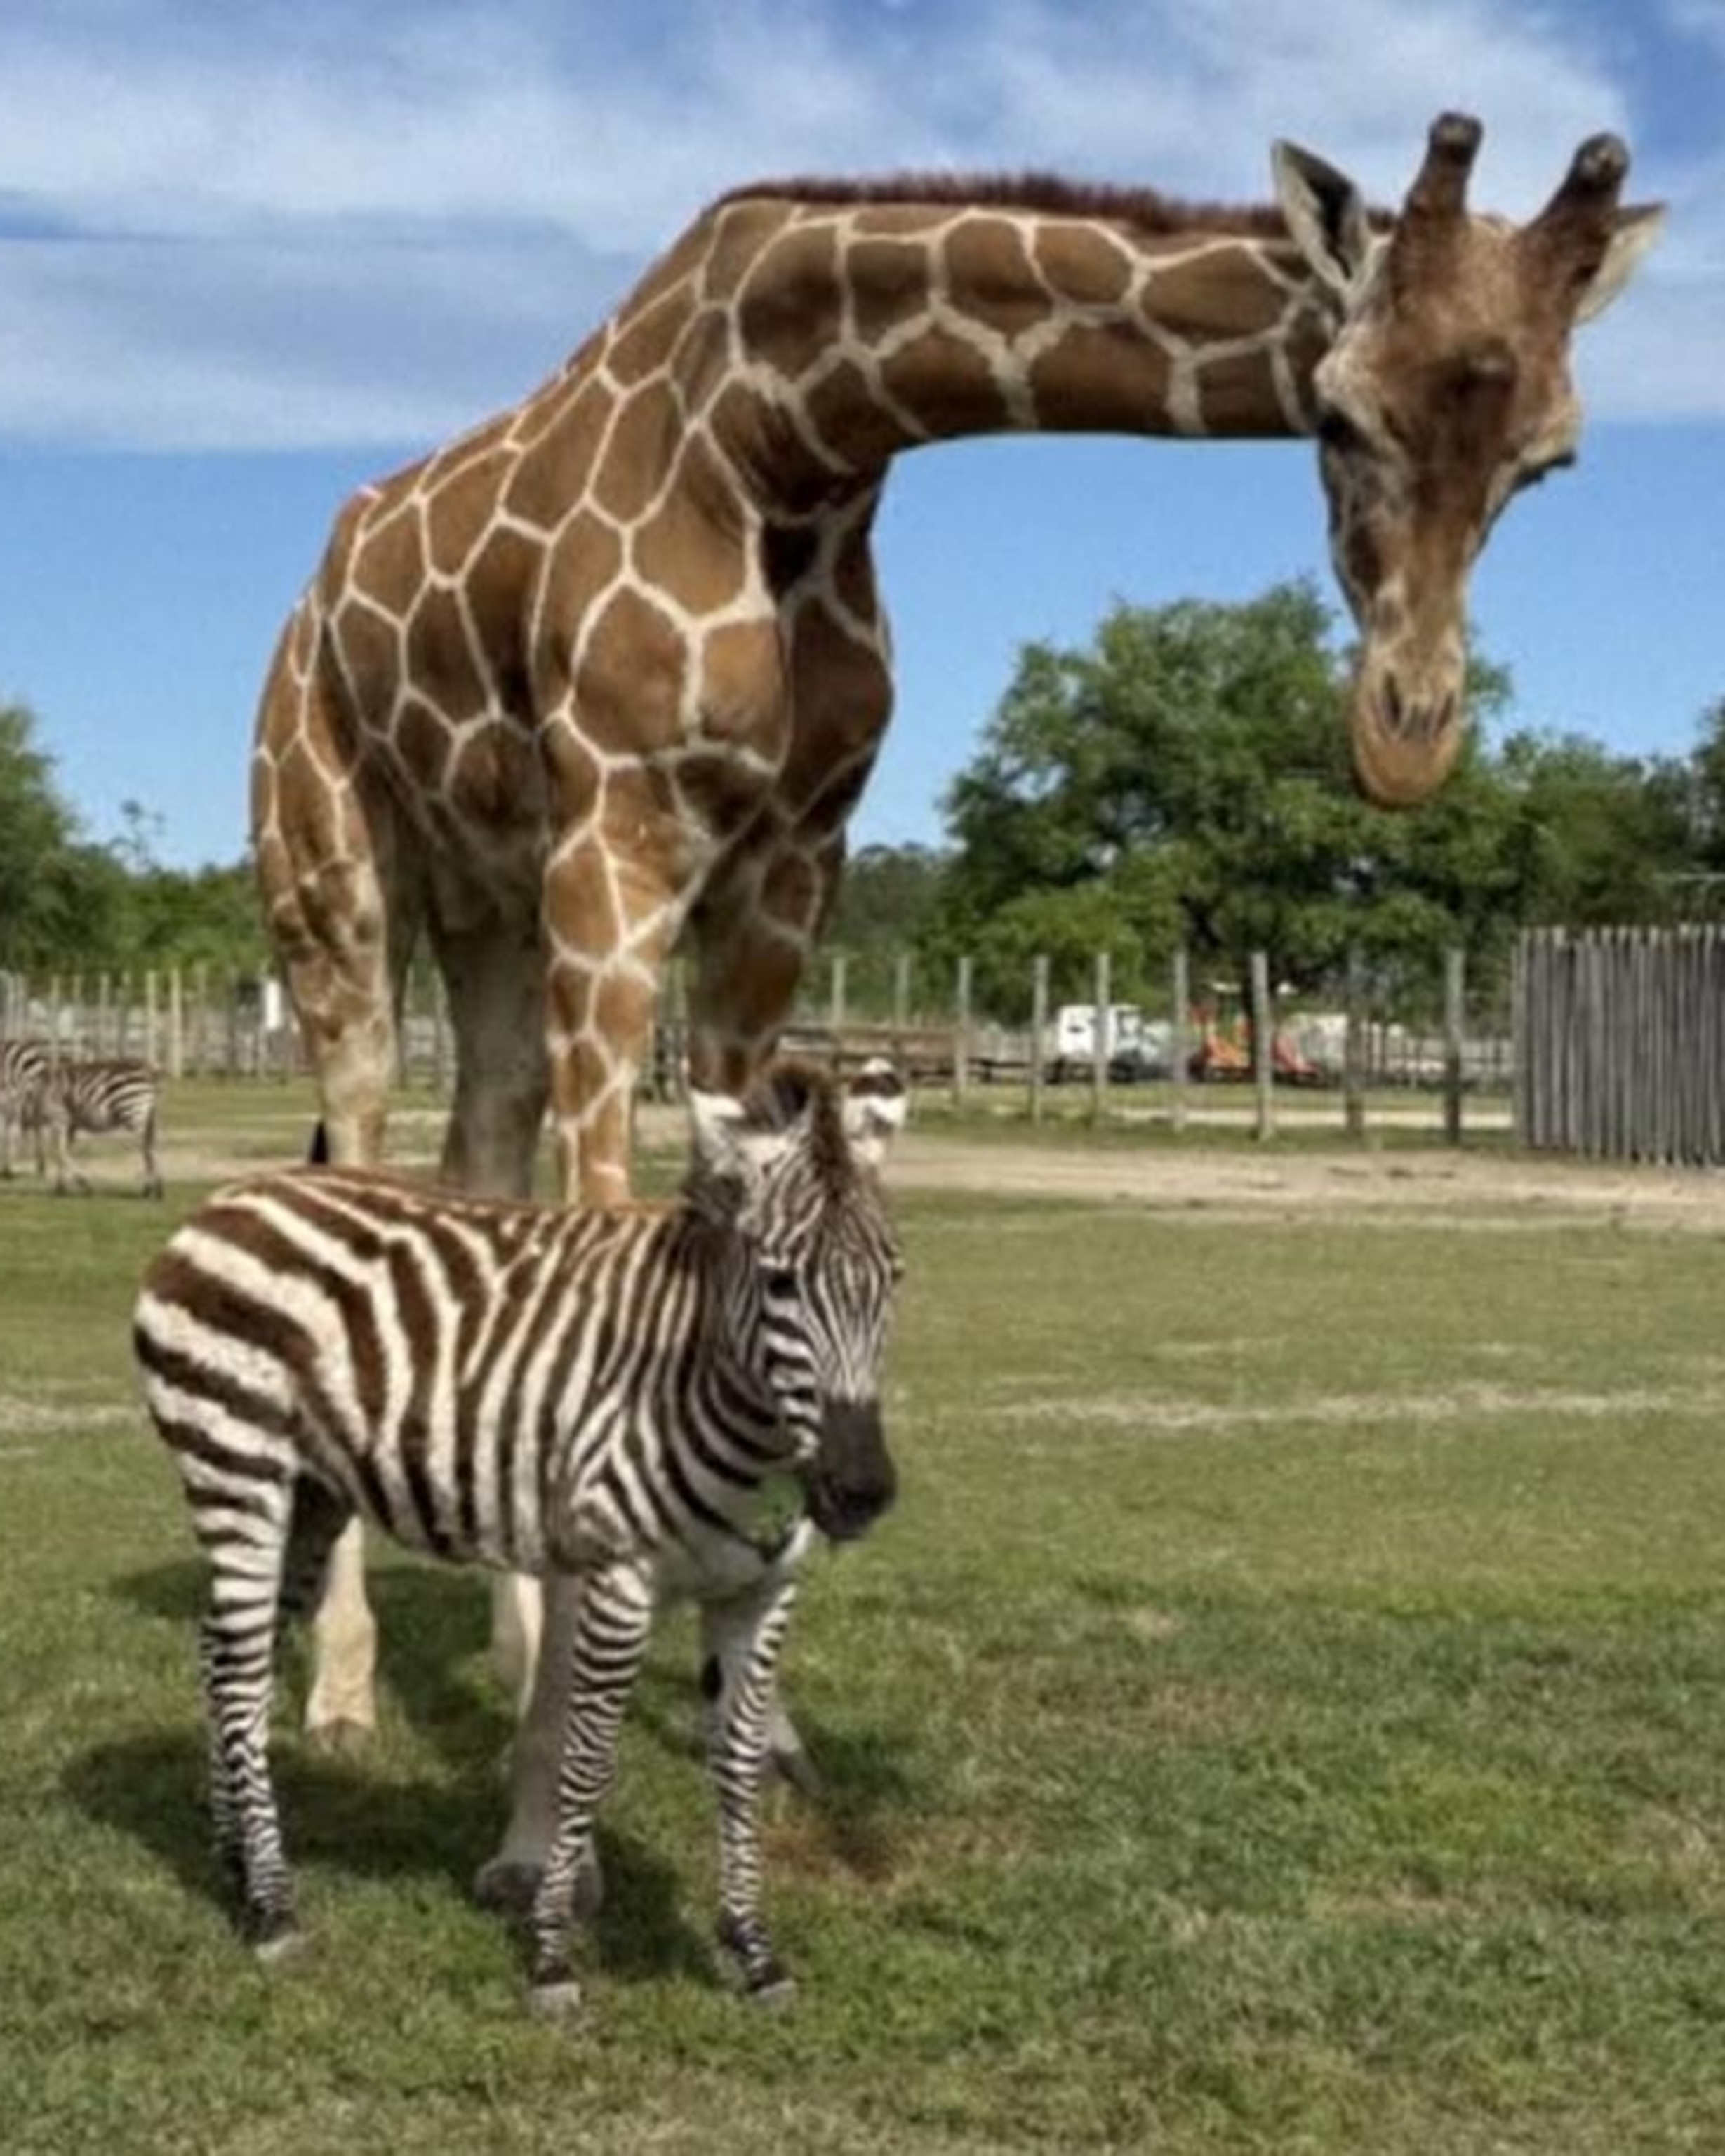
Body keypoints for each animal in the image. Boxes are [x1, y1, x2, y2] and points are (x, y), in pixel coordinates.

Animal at [41, 1055, 164, 1197]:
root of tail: (149, 1071)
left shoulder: (58, 1117)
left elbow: (60, 1152)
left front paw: (78, 1185)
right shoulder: (71, 1123)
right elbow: (65, 1150)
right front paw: (62, 1186)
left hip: (134, 1112)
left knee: (147, 1149)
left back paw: (152, 1188)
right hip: (147, 1116)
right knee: (151, 1147)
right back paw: (154, 1188)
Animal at [132, 1058, 907, 2010]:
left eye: (893, 1279)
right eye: (780, 1283)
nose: (858, 1492)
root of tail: (231, 1199)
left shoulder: (757, 1594)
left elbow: (736, 1763)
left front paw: (753, 1950)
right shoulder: (617, 1580)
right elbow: (589, 1758)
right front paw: (550, 1954)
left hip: (310, 1496)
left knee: (220, 1653)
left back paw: (232, 1867)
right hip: (234, 1467)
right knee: (242, 1678)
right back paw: (275, 1908)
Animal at [251, 113, 1660, 1903]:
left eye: (1550, 455)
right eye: (1339, 409)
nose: (1404, 737)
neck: (793, 436)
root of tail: (312, 592)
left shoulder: (791, 861)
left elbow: (732, 1206)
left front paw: (749, 1718)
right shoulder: (618, 837)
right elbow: (616, 1217)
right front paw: (528, 1815)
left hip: (484, 901)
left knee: (474, 1152)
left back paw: (500, 1651)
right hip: (336, 873)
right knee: (363, 1147)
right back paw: (346, 1689)